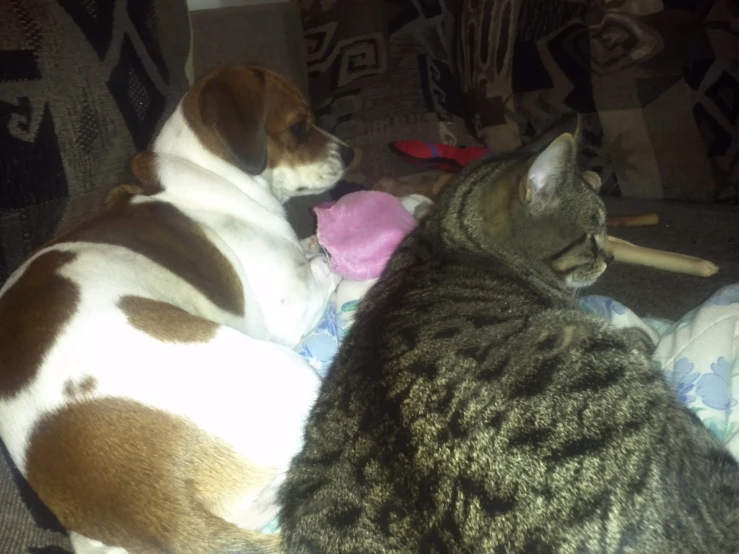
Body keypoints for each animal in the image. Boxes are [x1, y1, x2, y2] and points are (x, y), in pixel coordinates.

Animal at [0, 66, 356, 552]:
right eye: (300, 126)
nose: (351, 153)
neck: (208, 179)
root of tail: (160, 509)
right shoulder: (292, 306)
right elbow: (322, 262)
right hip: (288, 370)